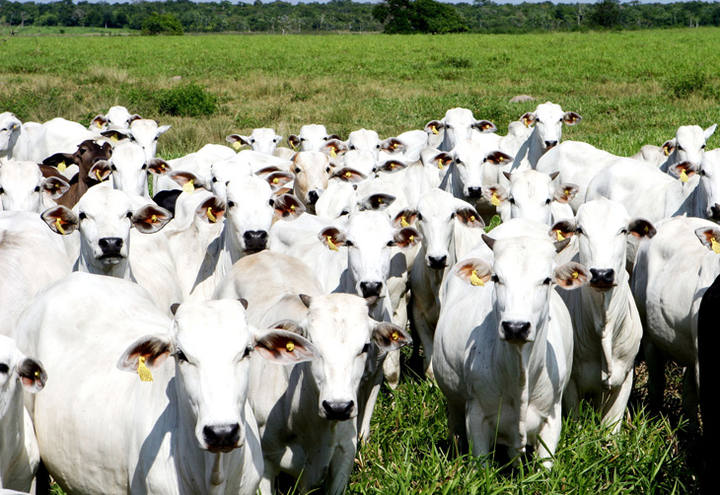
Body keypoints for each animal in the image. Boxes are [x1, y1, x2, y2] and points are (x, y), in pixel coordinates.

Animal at [211, 254, 408, 494]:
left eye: (365, 346)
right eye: (311, 343)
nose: (338, 407)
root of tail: (259, 255)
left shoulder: (344, 455)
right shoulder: (265, 463)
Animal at [430, 234, 584, 466]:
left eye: (547, 280)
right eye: (496, 278)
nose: (515, 327)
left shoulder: (552, 416)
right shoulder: (476, 416)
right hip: (454, 402)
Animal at [556, 200, 652, 432]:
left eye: (623, 230)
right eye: (580, 230)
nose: (601, 274)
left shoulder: (624, 377)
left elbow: (611, 430)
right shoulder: (571, 383)